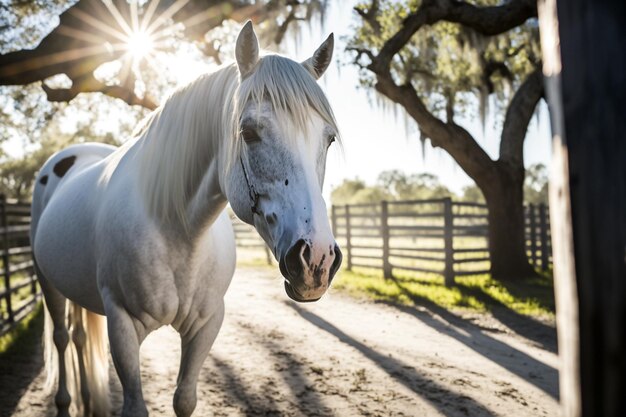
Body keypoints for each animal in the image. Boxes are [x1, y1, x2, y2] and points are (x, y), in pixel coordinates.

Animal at [30, 23, 342, 416]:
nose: (316, 261)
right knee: (60, 337)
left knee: (79, 336)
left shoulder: (206, 327)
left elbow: (185, 399)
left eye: (328, 140)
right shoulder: (122, 327)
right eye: (248, 132)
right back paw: (65, 402)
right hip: (48, 284)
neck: (179, 230)